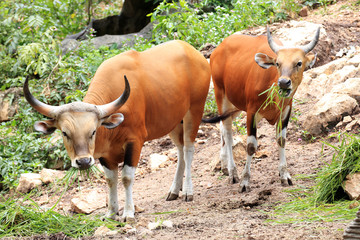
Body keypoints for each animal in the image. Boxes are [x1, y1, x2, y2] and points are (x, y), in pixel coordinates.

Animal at [24, 39, 211, 221]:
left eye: (93, 131)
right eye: (65, 133)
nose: (83, 162)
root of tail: (196, 54)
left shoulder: (135, 142)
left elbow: (126, 177)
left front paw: (128, 213)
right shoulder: (104, 154)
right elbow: (110, 179)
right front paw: (111, 213)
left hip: (195, 110)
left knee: (188, 148)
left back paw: (187, 191)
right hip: (173, 120)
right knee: (180, 149)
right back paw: (174, 190)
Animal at [208, 27, 320, 192]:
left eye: (299, 63)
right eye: (278, 63)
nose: (283, 82)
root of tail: (217, 49)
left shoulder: (286, 111)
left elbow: (281, 140)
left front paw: (285, 175)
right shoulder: (251, 112)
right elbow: (251, 146)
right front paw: (245, 181)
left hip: (235, 105)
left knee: (222, 127)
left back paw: (224, 165)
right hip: (221, 96)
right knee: (228, 133)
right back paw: (233, 173)